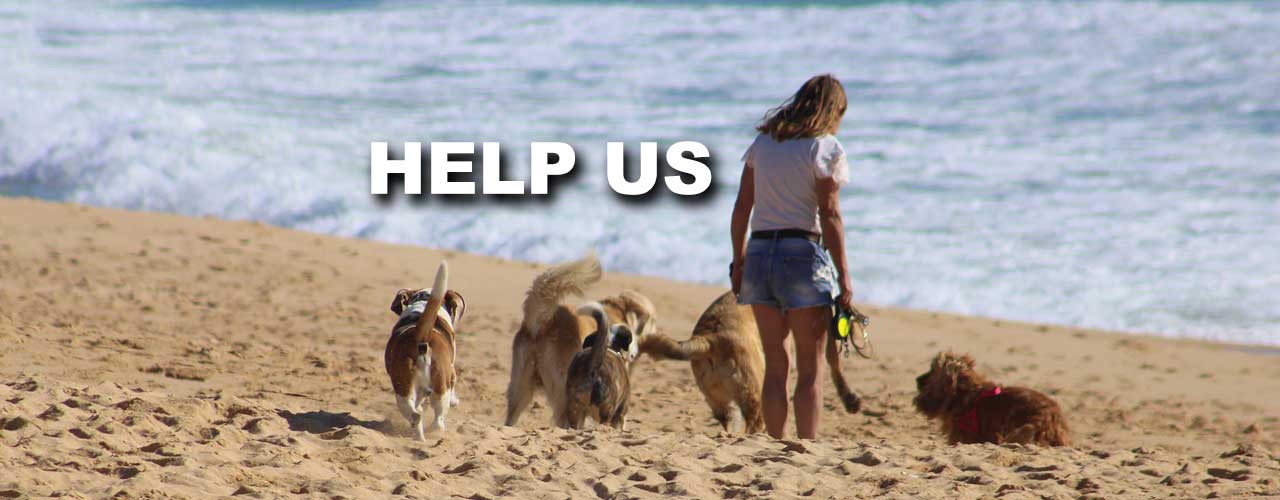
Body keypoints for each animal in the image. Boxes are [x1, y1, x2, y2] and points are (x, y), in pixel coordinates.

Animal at [384, 264, 465, 439]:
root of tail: (420, 336)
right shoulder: (452, 372)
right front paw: (455, 401)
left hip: (403, 388)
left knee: (415, 415)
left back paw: (419, 438)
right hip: (441, 386)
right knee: (438, 421)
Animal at [640, 291, 860, 437]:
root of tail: (710, 338)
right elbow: (835, 364)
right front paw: (850, 399)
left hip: (722, 402)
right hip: (754, 389)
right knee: (755, 425)